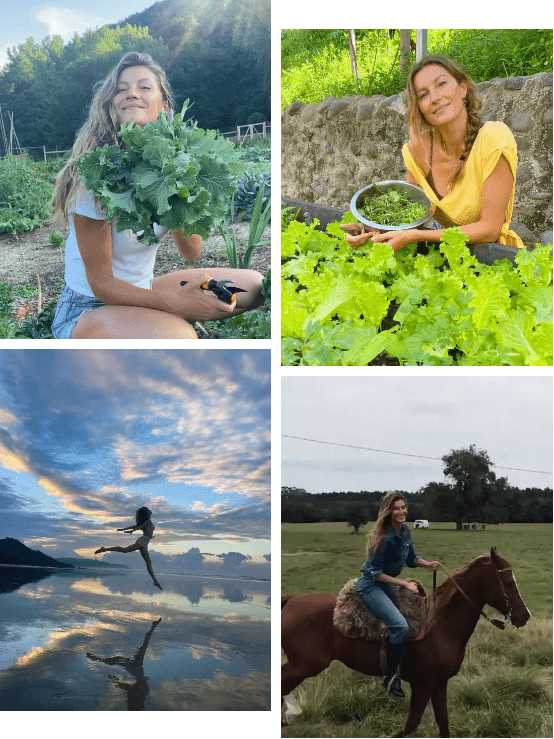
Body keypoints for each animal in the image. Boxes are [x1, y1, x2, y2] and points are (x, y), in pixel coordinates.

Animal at [282, 548, 528, 736]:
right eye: (507, 581)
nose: (524, 616)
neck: (439, 625)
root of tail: (290, 600)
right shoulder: (423, 684)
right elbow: (410, 725)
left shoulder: (439, 683)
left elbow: (443, 723)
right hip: (305, 665)